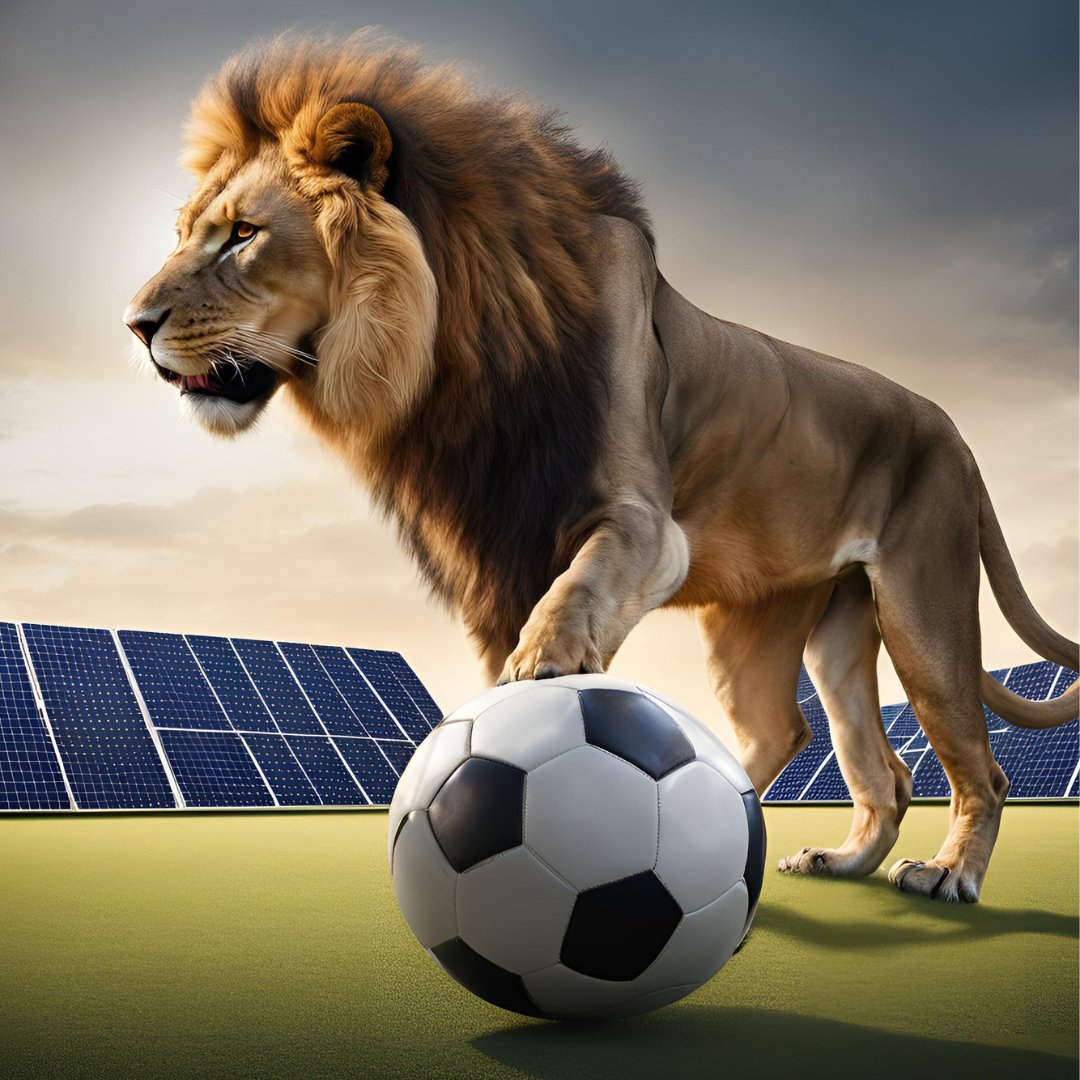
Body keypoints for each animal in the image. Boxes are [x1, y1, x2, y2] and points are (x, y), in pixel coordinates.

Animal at [125, 31, 1078, 903]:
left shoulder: (643, 529)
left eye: (244, 236)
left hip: (921, 607)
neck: (450, 362)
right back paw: (826, 857)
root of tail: (954, 432)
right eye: (183, 235)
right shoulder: (493, 560)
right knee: (845, 755)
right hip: (802, 631)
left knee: (976, 768)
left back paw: (948, 874)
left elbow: (571, 599)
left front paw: (542, 675)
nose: (136, 325)